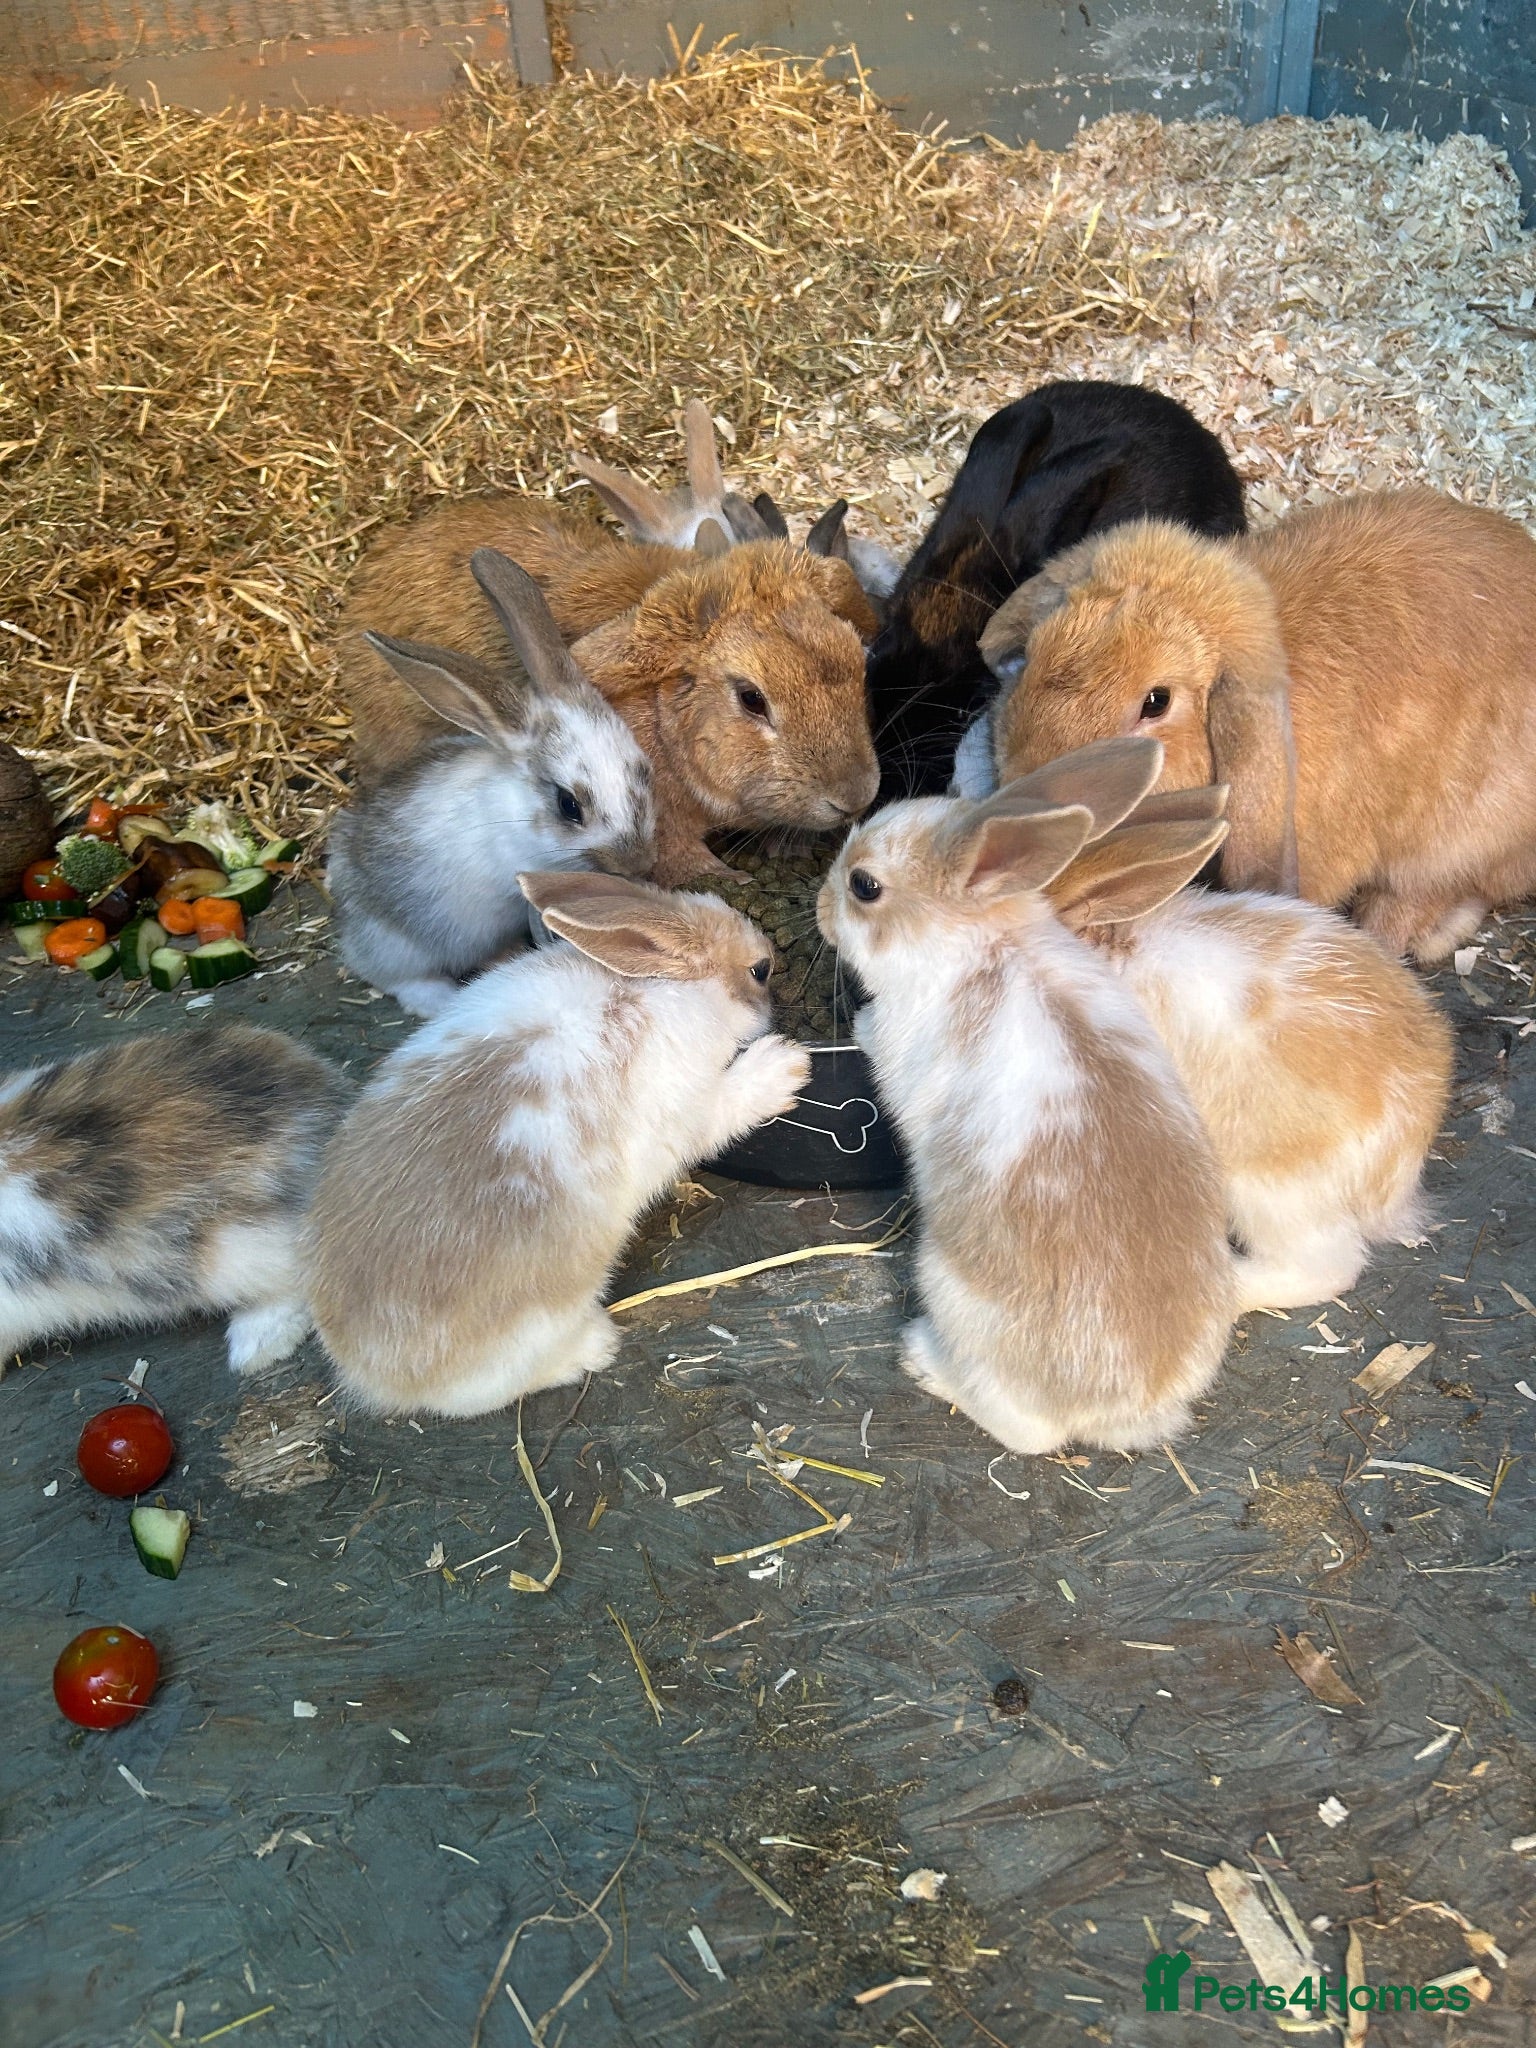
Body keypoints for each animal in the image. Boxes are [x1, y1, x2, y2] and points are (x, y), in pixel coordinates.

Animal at [306, 871, 811, 1417]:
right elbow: (725, 1108)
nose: (774, 1006)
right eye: (760, 970)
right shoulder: (692, 1108)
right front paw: (785, 1066)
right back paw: (596, 1346)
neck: (655, 986)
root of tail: (368, 1371)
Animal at [328, 549, 655, 1018]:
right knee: (400, 981)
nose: (638, 865)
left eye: (643, 770)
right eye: (568, 805)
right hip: (399, 945)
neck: (515, 812)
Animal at [815, 766, 1237, 1455]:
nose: (822, 907)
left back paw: (924, 1360)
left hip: (949, 1290)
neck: (985, 940)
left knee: (1026, 1432)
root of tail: (1127, 1406)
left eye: (865, 886)